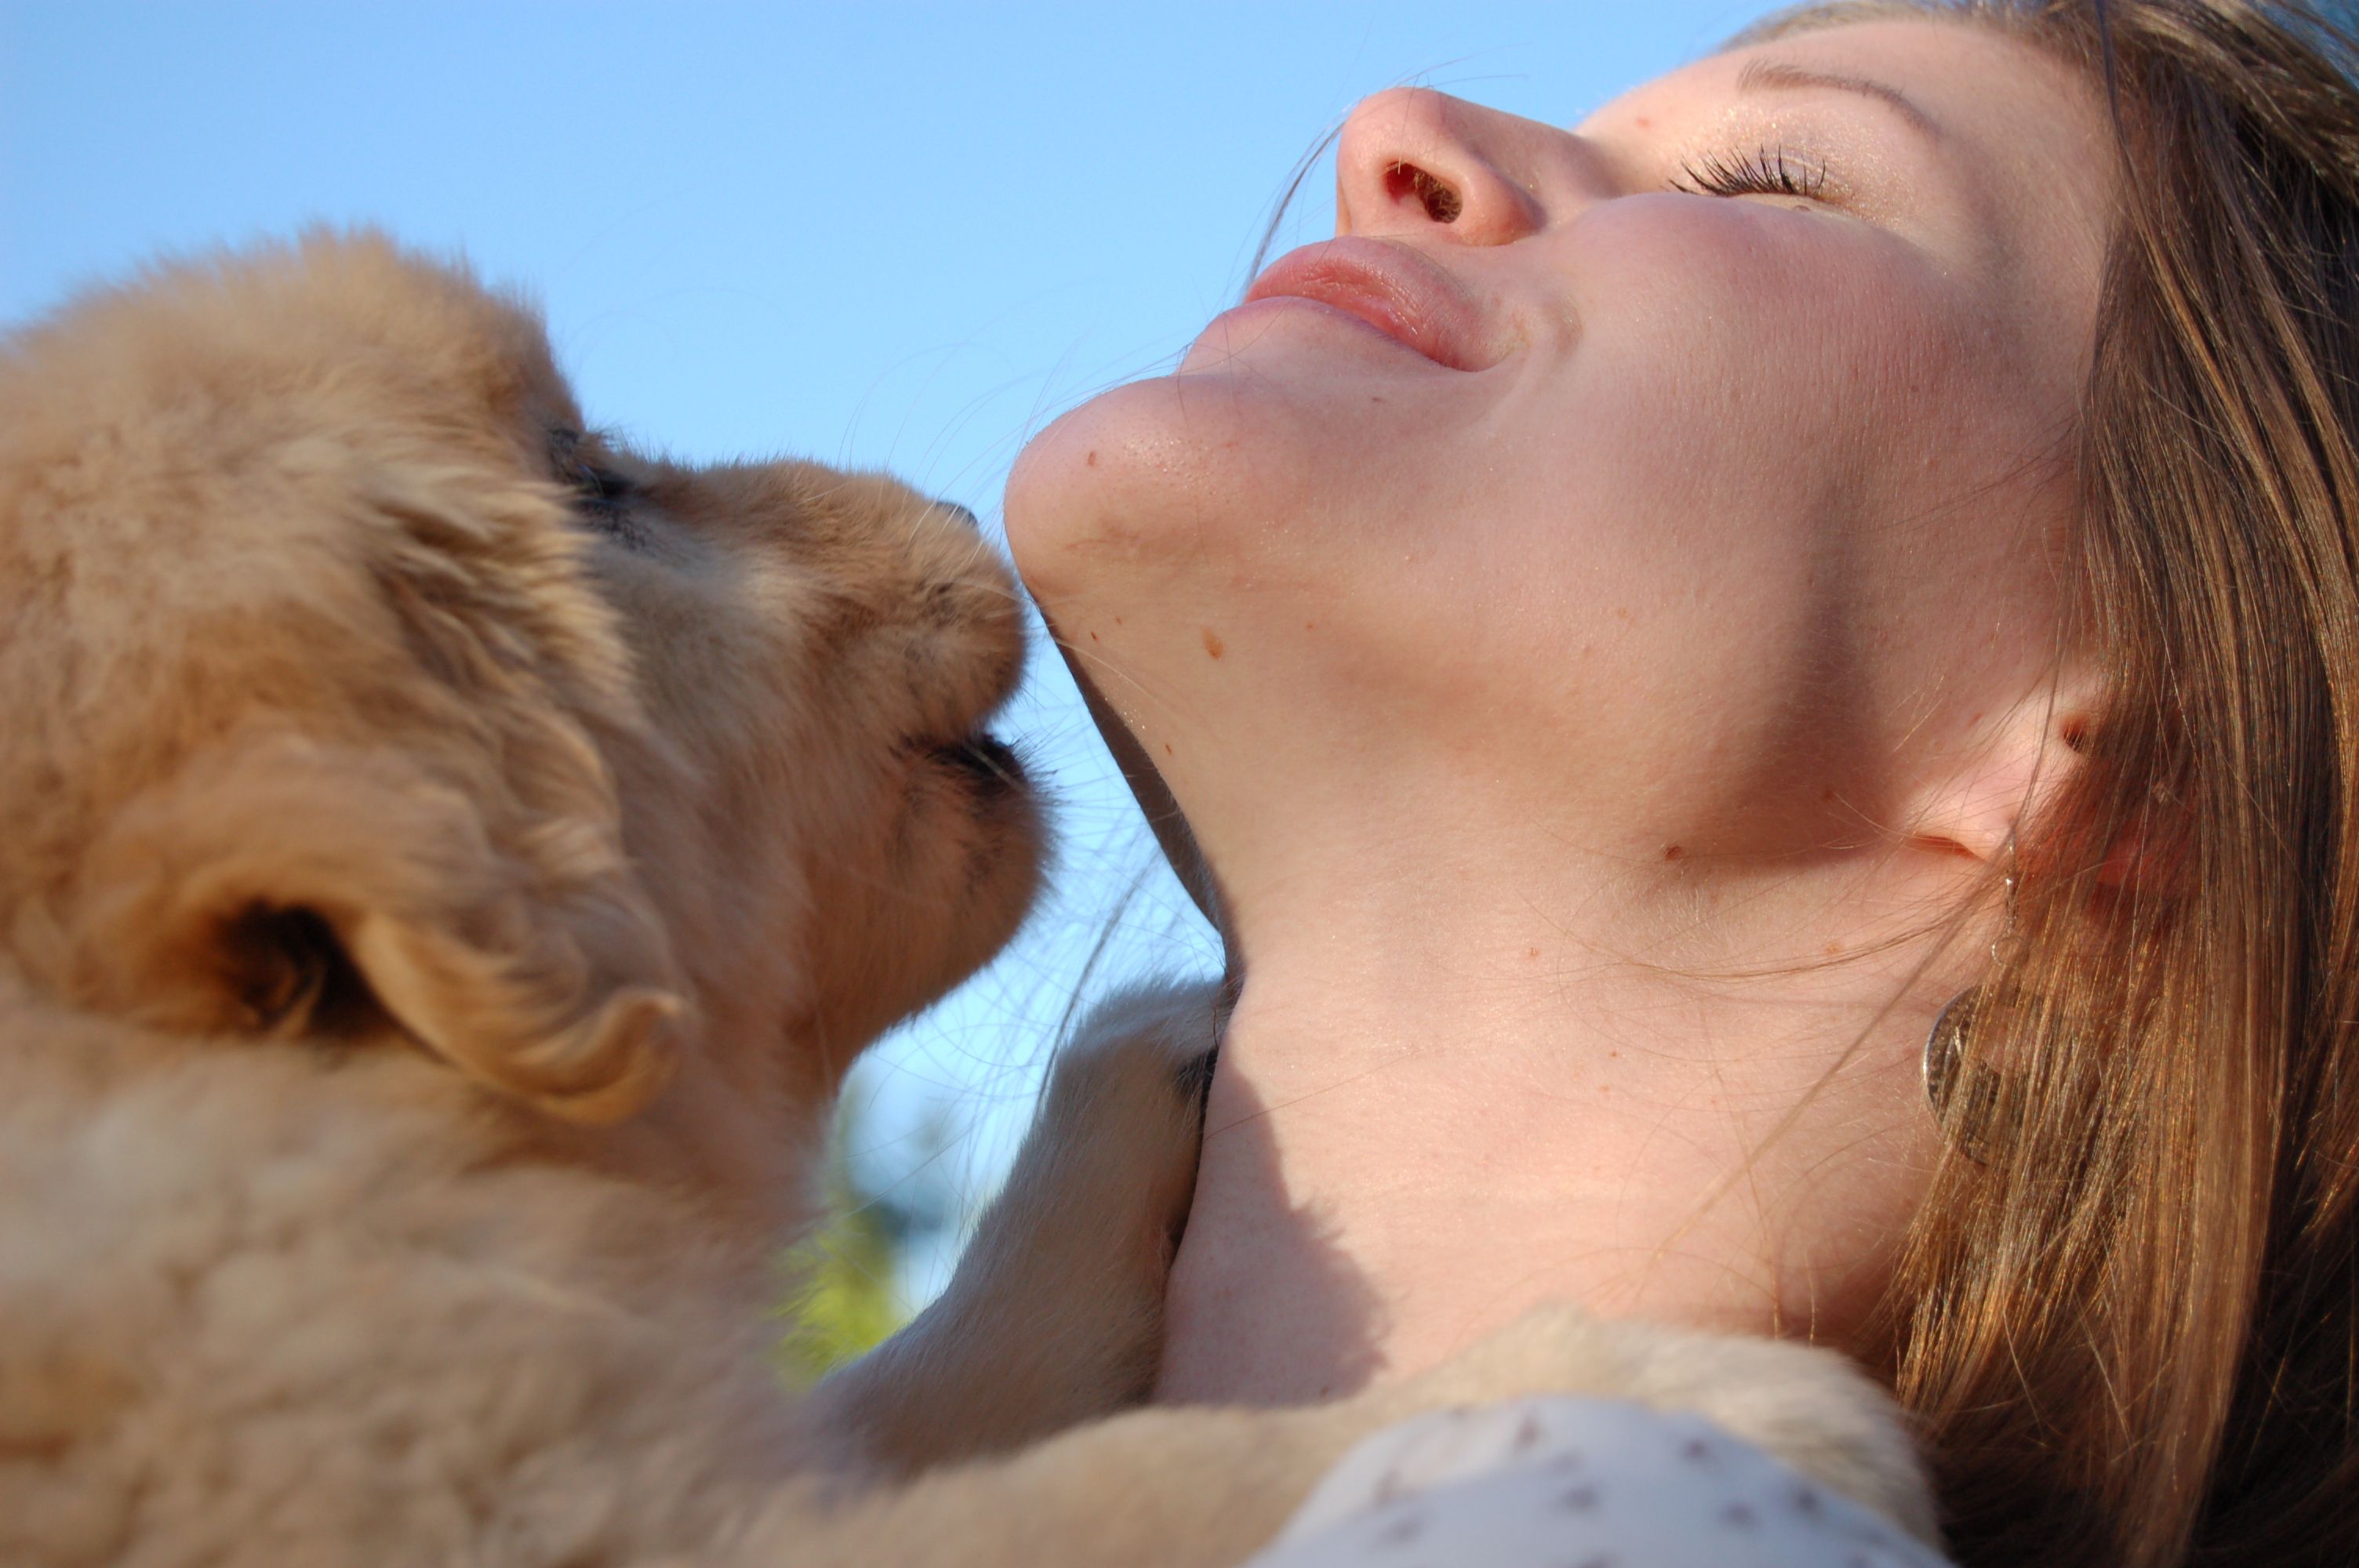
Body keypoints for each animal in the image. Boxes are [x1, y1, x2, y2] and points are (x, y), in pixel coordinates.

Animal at [0, 235, 1934, 1565]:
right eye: (591, 485)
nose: (954, 501)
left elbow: (912, 1393)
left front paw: (1132, 1089)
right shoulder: (537, 1502)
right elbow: (1116, 1492)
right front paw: (1607, 1399)